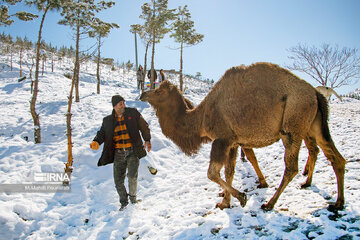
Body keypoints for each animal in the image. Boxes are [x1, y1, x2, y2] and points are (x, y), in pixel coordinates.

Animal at [140, 62, 346, 211]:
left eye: (158, 90)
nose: (143, 94)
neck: (201, 118)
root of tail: (316, 93)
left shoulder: (222, 139)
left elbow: (212, 172)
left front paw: (241, 197)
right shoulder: (233, 142)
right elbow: (228, 172)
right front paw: (225, 202)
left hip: (292, 125)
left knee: (292, 167)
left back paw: (270, 204)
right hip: (314, 125)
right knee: (335, 157)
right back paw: (338, 202)